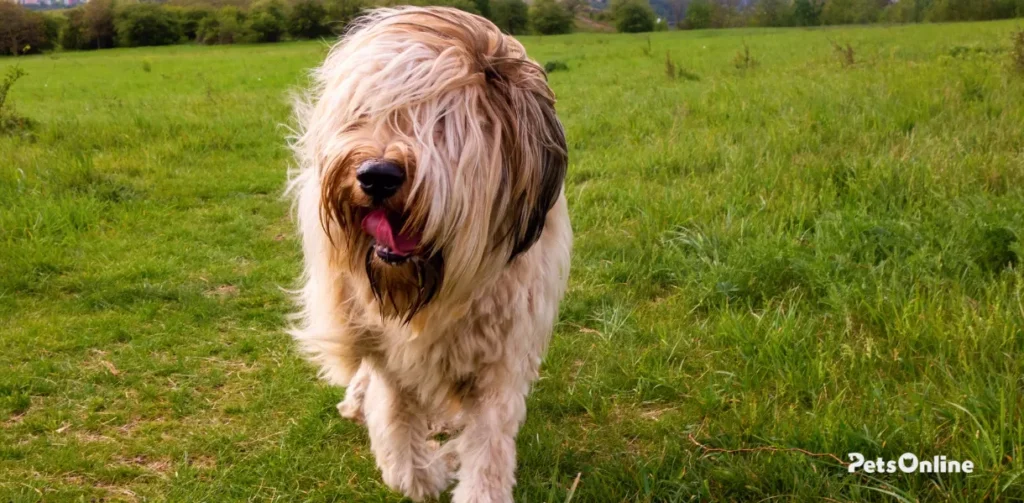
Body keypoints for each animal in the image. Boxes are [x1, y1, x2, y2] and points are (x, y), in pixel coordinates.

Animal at [288, 7, 573, 503]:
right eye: (364, 114)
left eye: (443, 122)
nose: (376, 175)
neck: (434, 290)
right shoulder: (389, 351)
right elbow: (396, 426)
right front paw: (427, 471)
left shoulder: (502, 357)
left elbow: (488, 444)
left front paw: (469, 478)